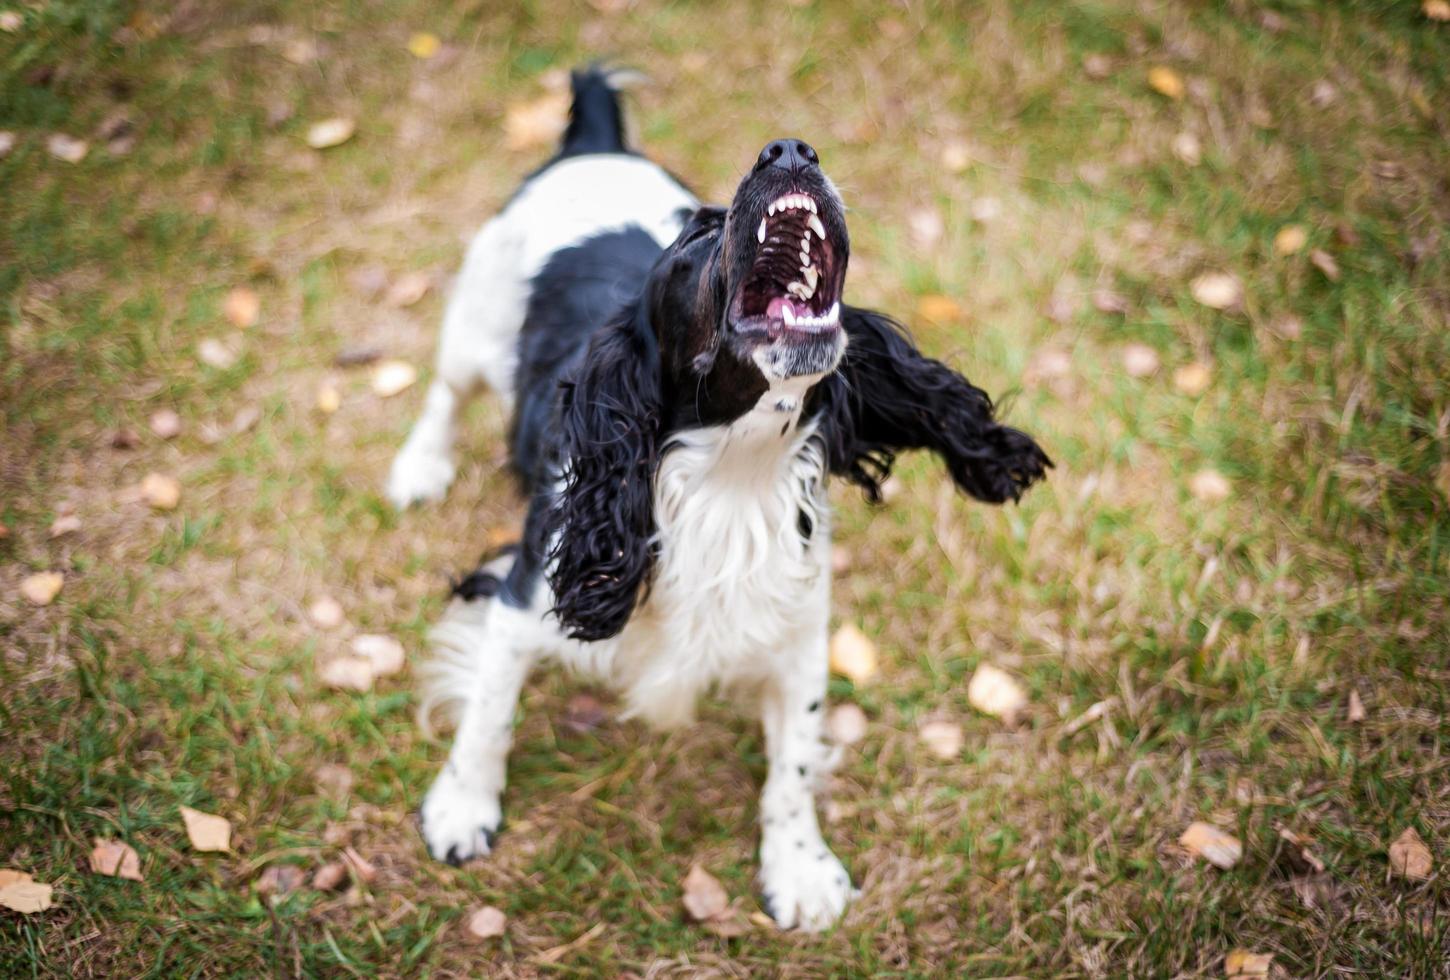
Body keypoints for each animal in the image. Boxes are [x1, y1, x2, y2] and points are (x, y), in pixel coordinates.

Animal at [388, 70, 1044, 933]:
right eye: (693, 240)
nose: (790, 148)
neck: (734, 475)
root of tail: (595, 141)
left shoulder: (799, 630)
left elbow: (792, 765)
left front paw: (799, 869)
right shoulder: (528, 587)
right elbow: (489, 712)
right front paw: (461, 810)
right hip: (475, 317)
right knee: (443, 391)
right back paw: (418, 467)